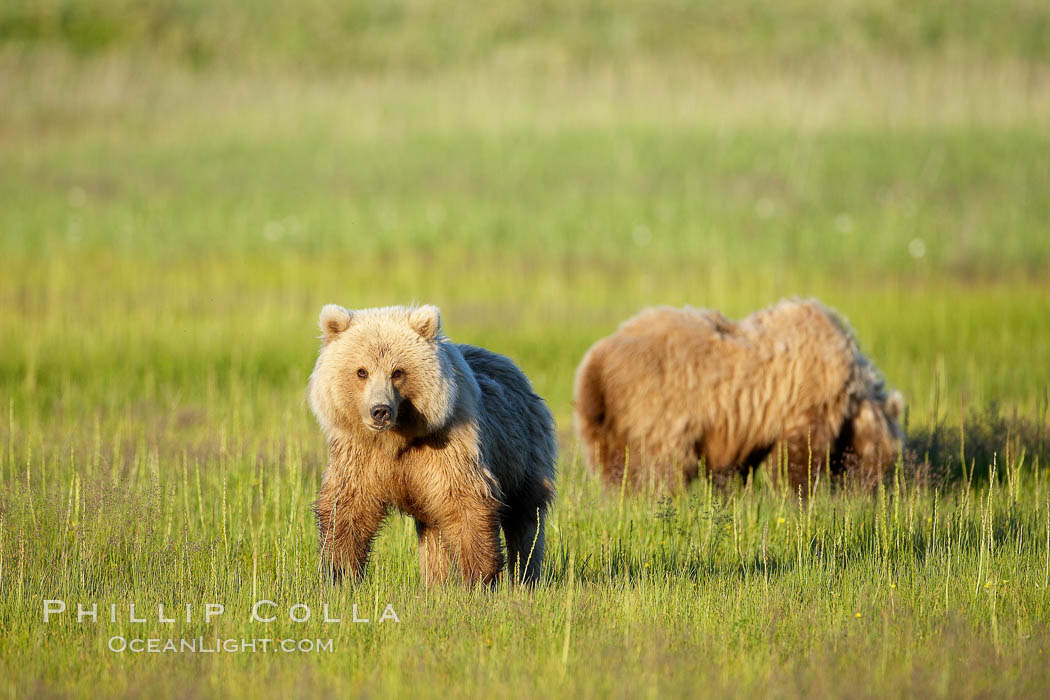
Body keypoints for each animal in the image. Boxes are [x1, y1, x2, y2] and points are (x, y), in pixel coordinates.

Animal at [306, 304, 558, 587]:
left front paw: (478, 578)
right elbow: (348, 507)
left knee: (525, 519)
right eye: (362, 371)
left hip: (523, 452)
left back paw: (526, 577)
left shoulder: (448, 446)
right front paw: (340, 574)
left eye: (397, 372)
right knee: (432, 532)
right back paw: (435, 583)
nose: (380, 411)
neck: (397, 439)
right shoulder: (360, 454)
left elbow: (466, 503)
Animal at [575, 300, 902, 493]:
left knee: (613, 464)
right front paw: (796, 493)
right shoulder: (806, 396)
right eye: (889, 457)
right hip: (656, 407)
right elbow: (798, 456)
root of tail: (597, 366)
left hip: (603, 423)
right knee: (661, 465)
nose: (874, 488)